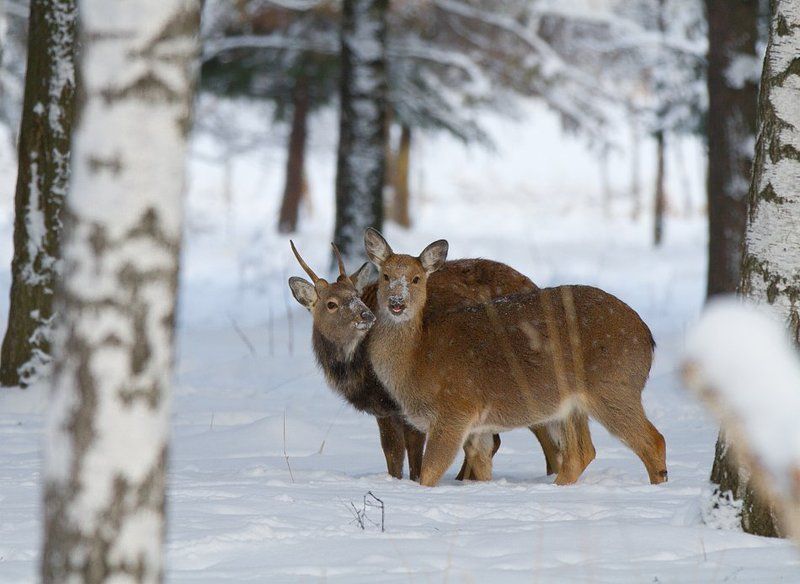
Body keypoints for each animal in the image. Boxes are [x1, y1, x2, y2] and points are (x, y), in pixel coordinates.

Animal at [288, 241, 595, 481]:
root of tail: (533, 283)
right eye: (331, 304)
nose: (366, 315)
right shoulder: (384, 410)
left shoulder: (409, 405)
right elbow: (392, 458)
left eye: (356, 296)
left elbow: (414, 458)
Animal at [363, 228, 667, 488]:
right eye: (386, 276)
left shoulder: (455, 409)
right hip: (572, 403)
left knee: (653, 441)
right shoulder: (479, 427)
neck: (418, 358)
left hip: (613, 387)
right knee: (581, 453)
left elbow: (429, 472)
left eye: (416, 278)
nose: (397, 303)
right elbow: (481, 467)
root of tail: (647, 335)